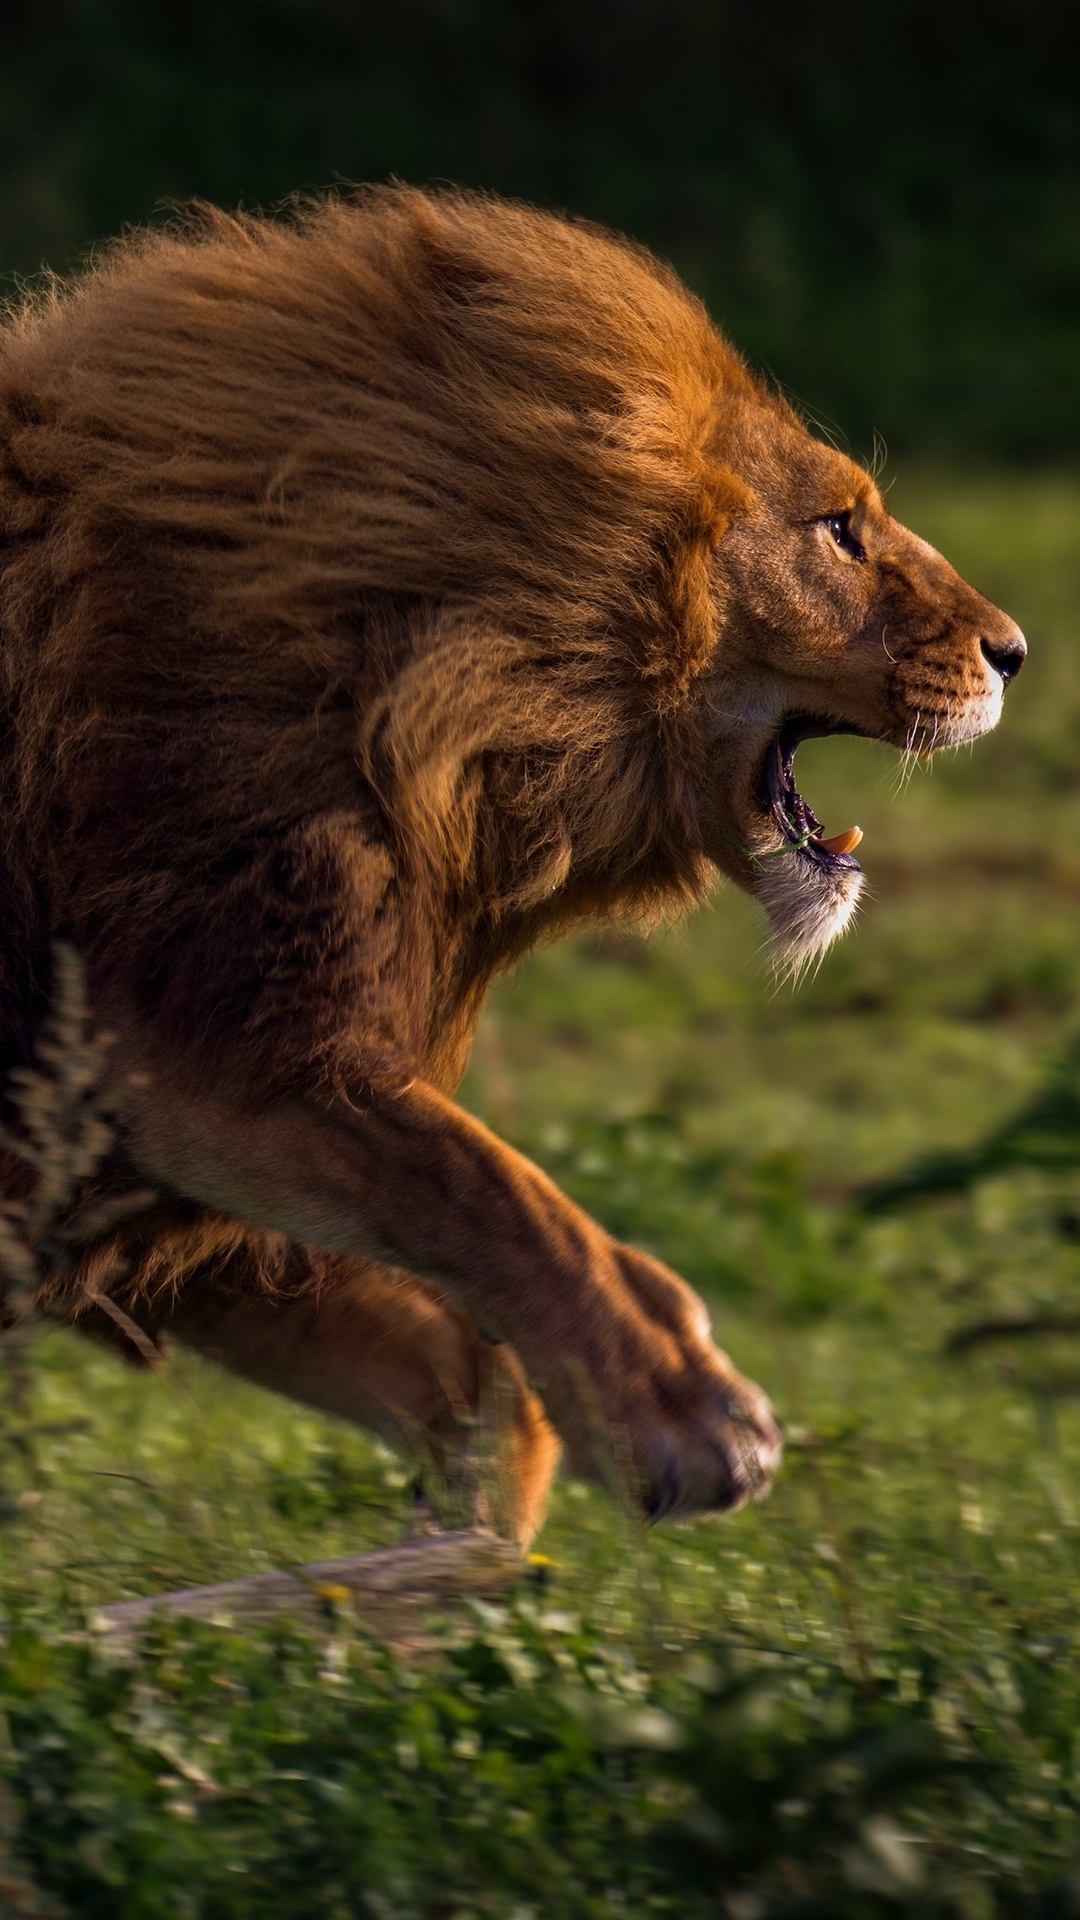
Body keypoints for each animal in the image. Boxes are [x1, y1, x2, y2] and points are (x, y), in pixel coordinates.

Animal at [0, 187, 1024, 1545]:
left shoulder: (131, 1170)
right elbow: (484, 1186)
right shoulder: (205, 1045)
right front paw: (681, 1408)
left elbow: (433, 1336)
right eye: (839, 530)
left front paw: (485, 1514)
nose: (1015, 651)